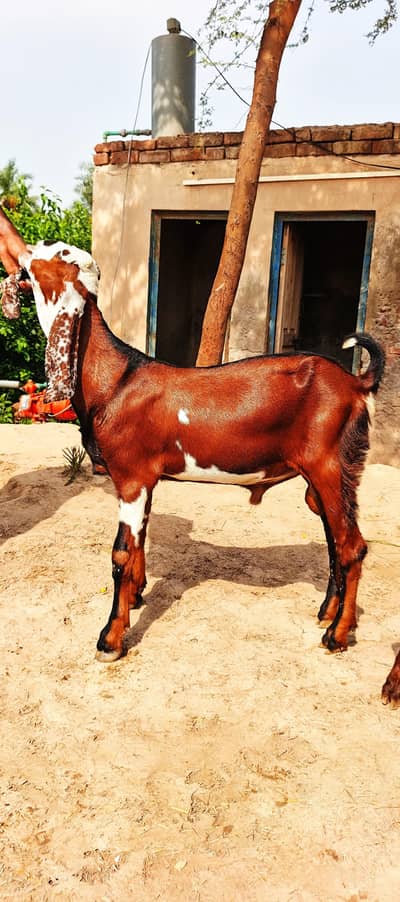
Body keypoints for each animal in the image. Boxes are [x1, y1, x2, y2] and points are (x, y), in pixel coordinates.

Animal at [0, 211, 387, 682]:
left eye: (60, 252)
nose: (32, 244)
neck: (116, 378)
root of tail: (357, 382)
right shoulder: (144, 480)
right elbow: (140, 545)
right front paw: (136, 601)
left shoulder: (131, 477)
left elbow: (121, 553)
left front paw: (110, 639)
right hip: (325, 476)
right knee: (334, 538)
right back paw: (327, 612)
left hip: (330, 464)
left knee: (352, 546)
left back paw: (337, 634)